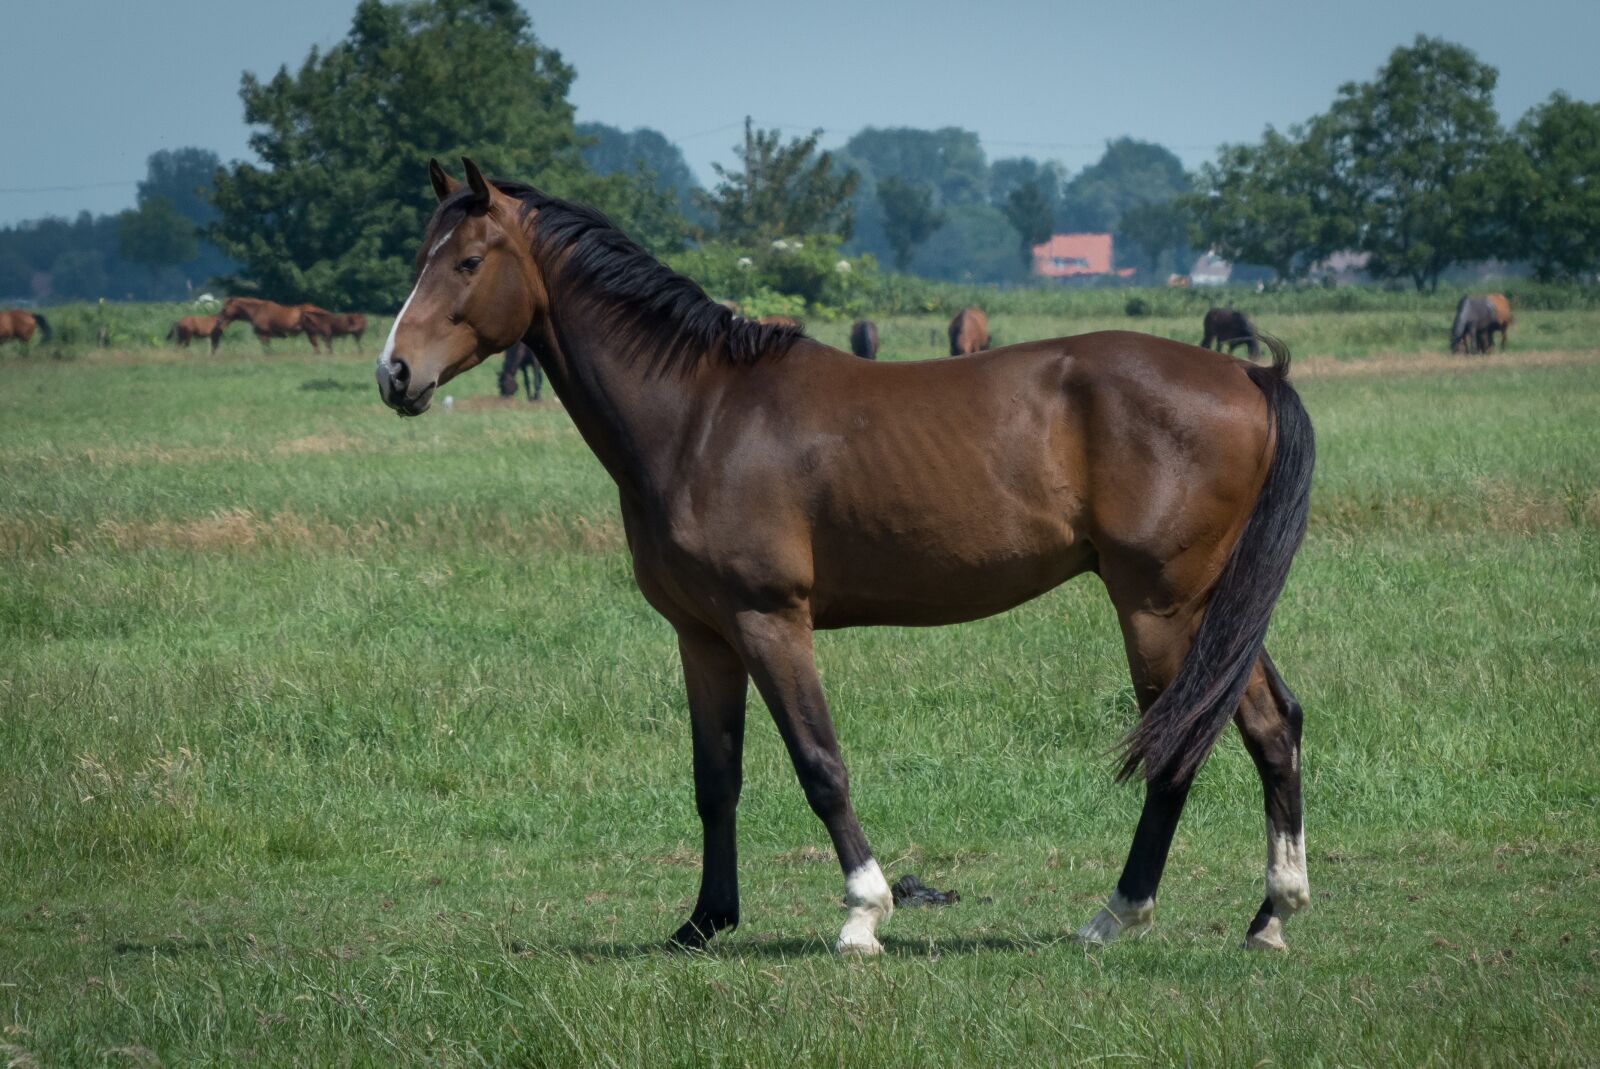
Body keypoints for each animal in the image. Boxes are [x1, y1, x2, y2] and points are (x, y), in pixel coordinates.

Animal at [375, 158, 1316, 956]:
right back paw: (1272, 914)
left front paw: (864, 914)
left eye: (467, 261)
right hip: (1209, 607)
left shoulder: (770, 620)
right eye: (423, 258)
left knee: (1177, 748)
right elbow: (715, 776)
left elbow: (819, 763)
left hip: (1157, 607)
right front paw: (704, 921)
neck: (700, 415)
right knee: (1273, 723)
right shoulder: (703, 635)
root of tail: (1249, 378)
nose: (394, 373)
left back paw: (1117, 913)